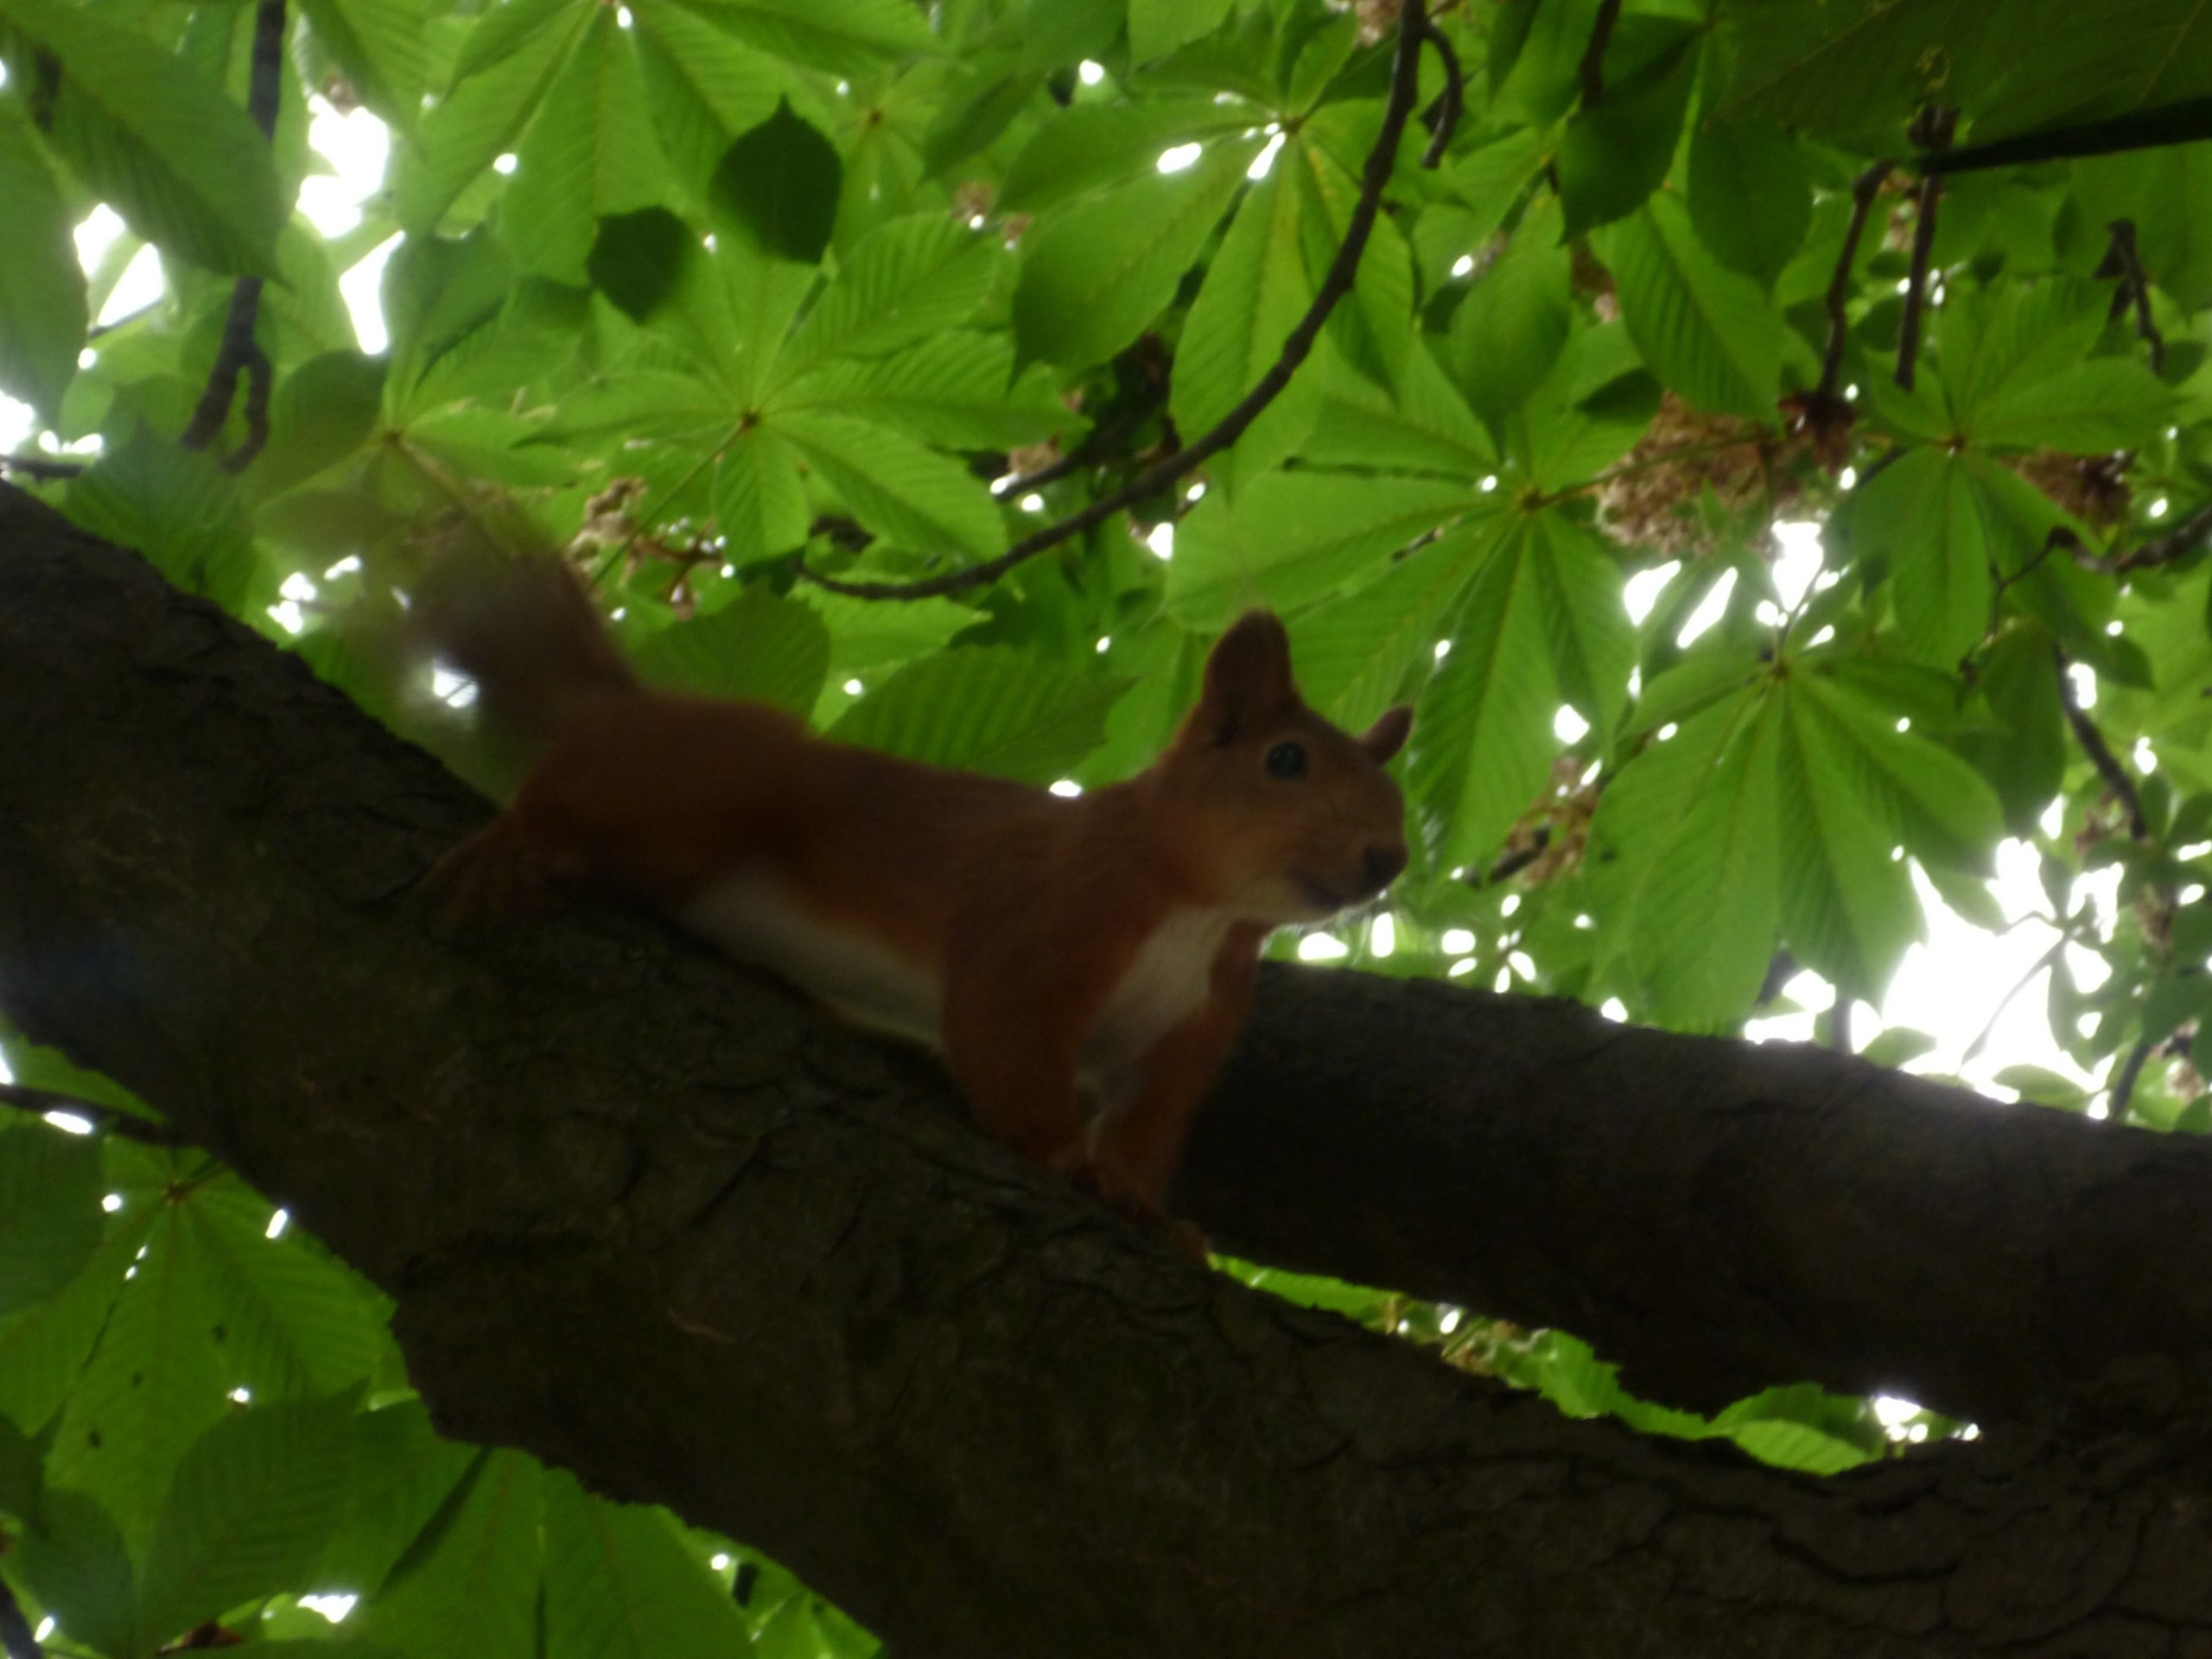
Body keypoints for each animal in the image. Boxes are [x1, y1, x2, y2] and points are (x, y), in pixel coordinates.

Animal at [419, 555, 1411, 1252]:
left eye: (1396, 799)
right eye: (1285, 760)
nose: (1388, 858)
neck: (1203, 915)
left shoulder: (1186, 1033)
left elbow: (1145, 1126)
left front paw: (1147, 1209)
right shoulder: (1045, 914)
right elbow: (1006, 1037)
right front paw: (1064, 1160)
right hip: (715, 776)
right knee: (569, 787)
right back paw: (514, 844)